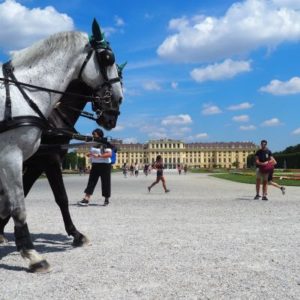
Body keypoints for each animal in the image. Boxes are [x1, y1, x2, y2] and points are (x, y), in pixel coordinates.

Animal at [0, 18, 123, 272]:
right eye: (108, 58)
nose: (115, 108)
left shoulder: (33, 161)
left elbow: (14, 200)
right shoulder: (26, 157)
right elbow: (33, 202)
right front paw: (33, 254)